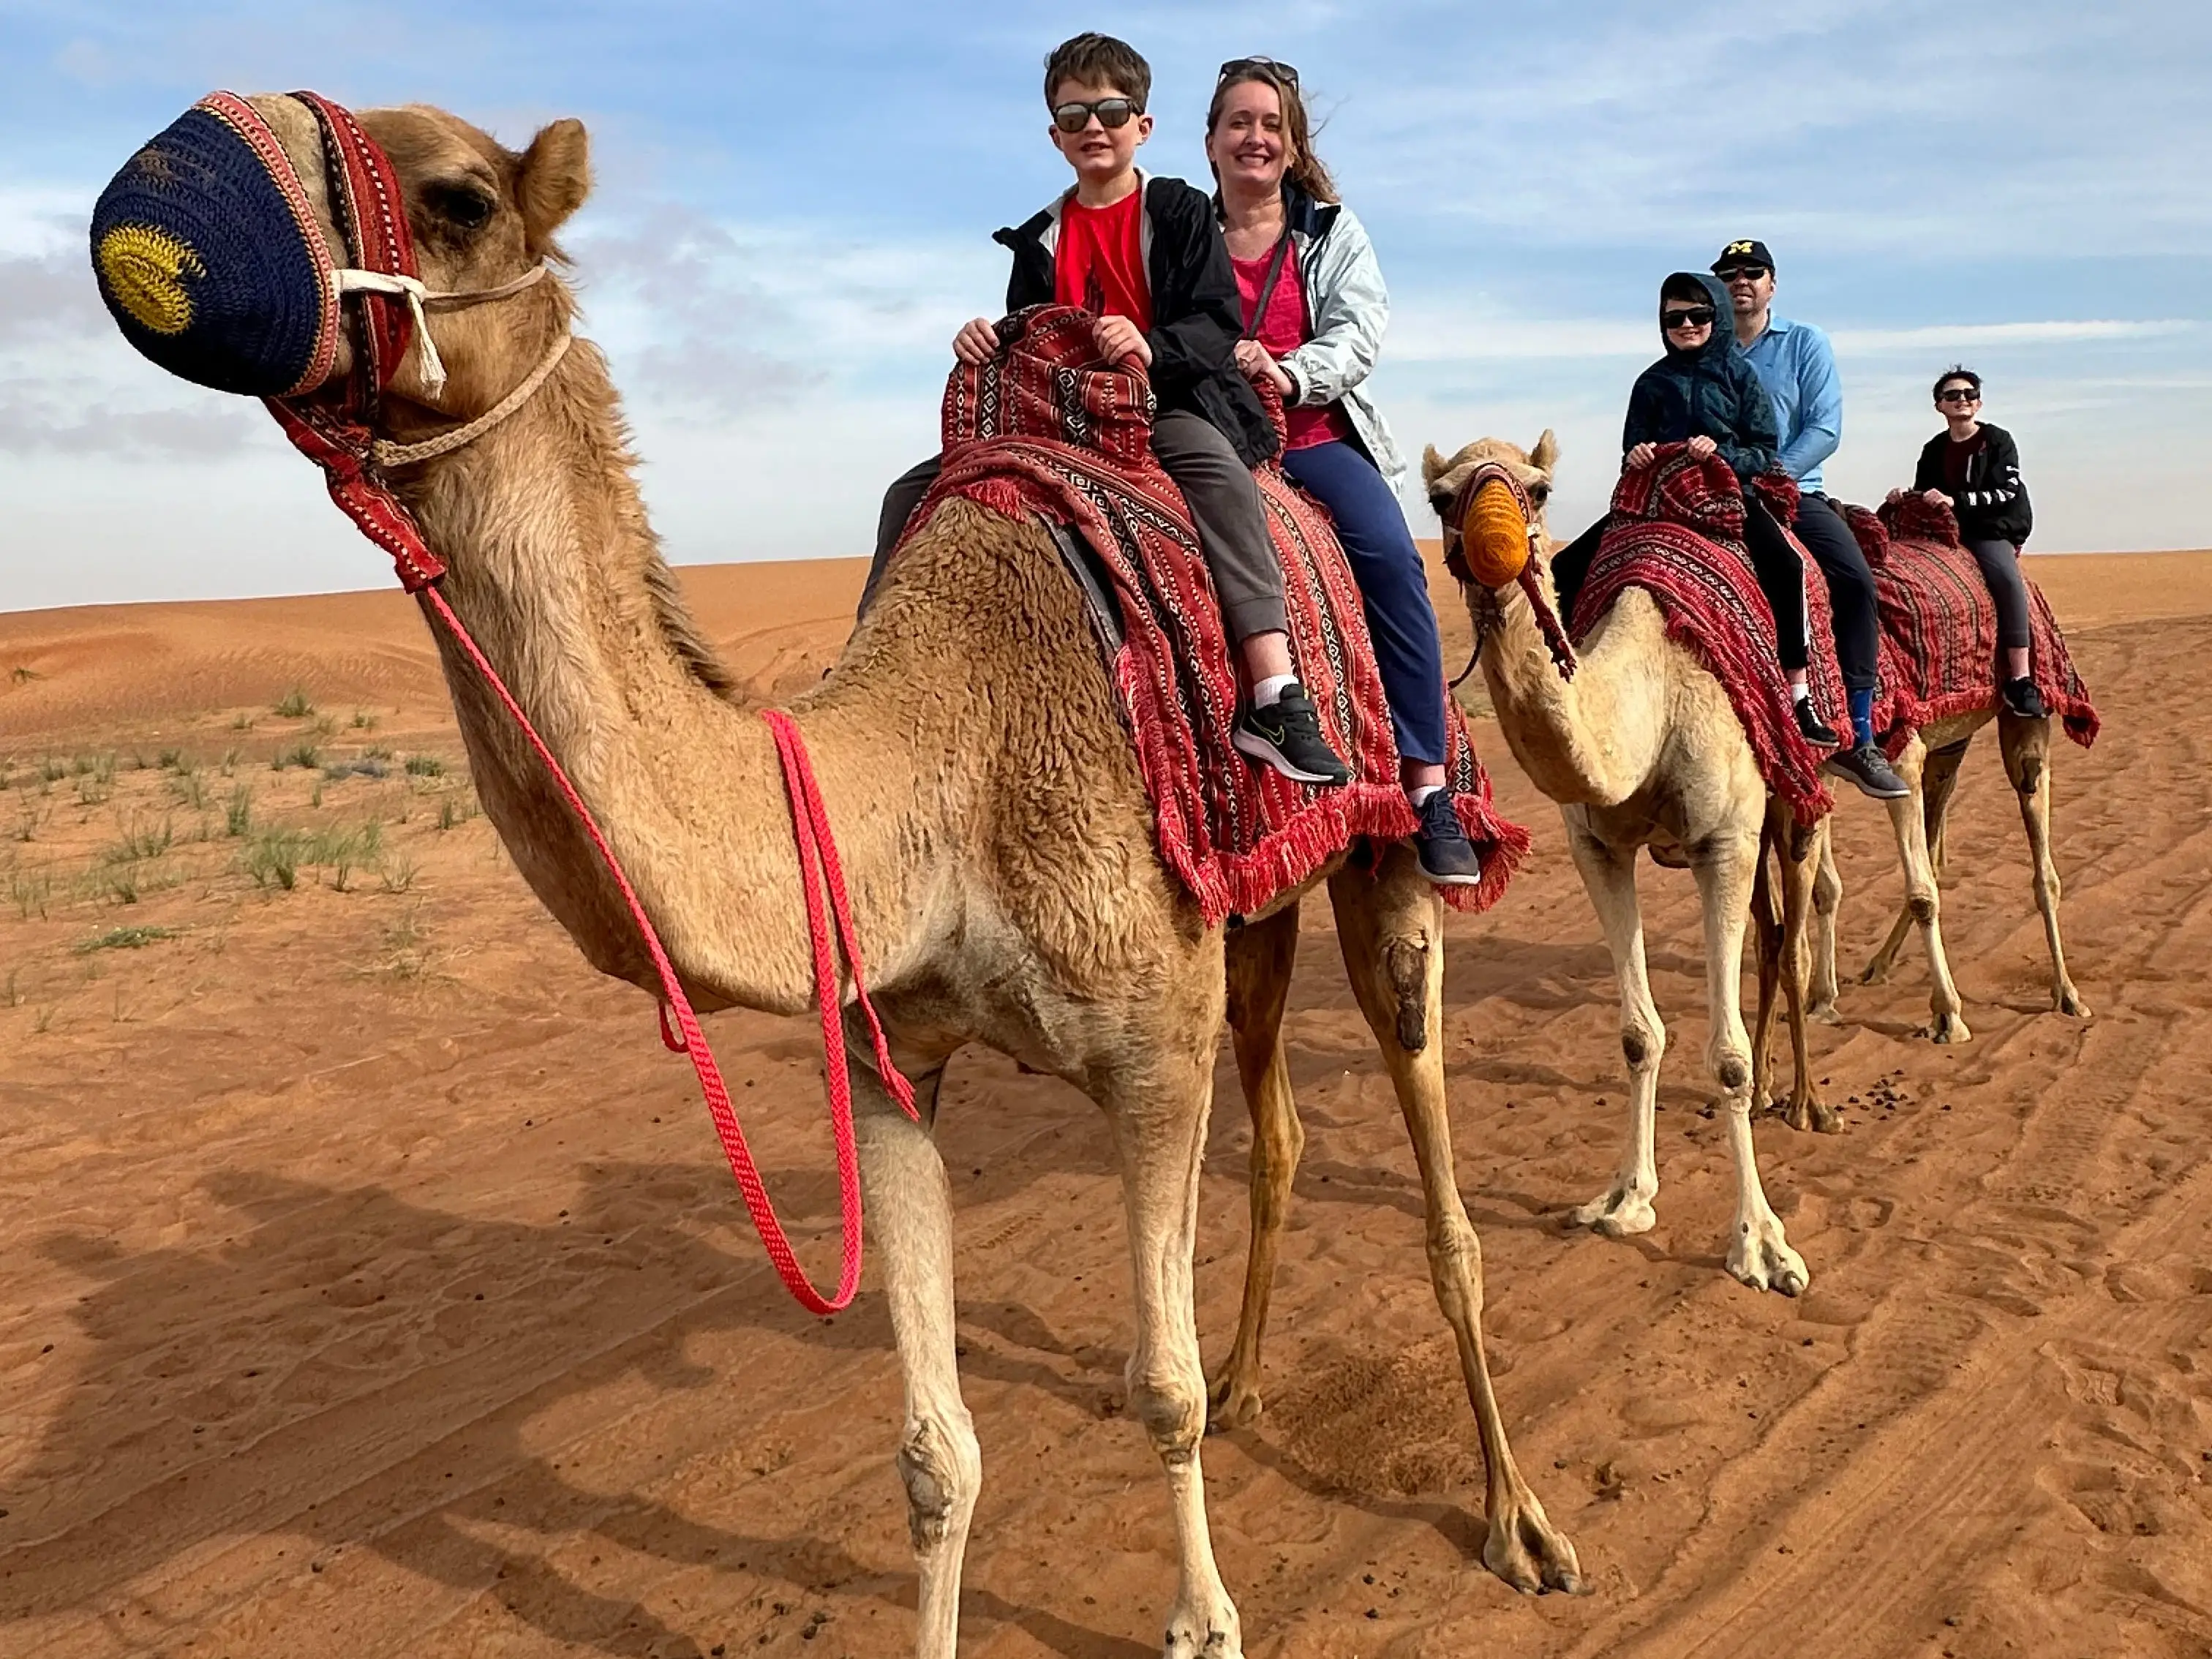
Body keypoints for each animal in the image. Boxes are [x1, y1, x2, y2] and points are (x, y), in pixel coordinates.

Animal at [187, 100, 1581, 1657]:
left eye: (457, 196)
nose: (178, 172)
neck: (938, 772)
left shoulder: (1149, 1053)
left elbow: (1152, 1386)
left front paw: (1205, 1614)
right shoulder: (890, 1057)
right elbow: (933, 1452)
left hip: (1388, 856)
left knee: (1440, 1205)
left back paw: (1516, 1521)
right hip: (1256, 908)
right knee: (1276, 1128)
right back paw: (1254, 1378)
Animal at [1420, 434, 1821, 1297]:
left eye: (1538, 488)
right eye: (1439, 497)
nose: (1496, 546)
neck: (1651, 697)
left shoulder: (1724, 841)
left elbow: (1726, 1058)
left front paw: (1762, 1245)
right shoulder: (1597, 850)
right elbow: (1639, 1034)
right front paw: (1625, 1199)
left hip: (1798, 804)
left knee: (1800, 935)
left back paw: (1809, 1100)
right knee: (1774, 939)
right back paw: (1779, 1087)